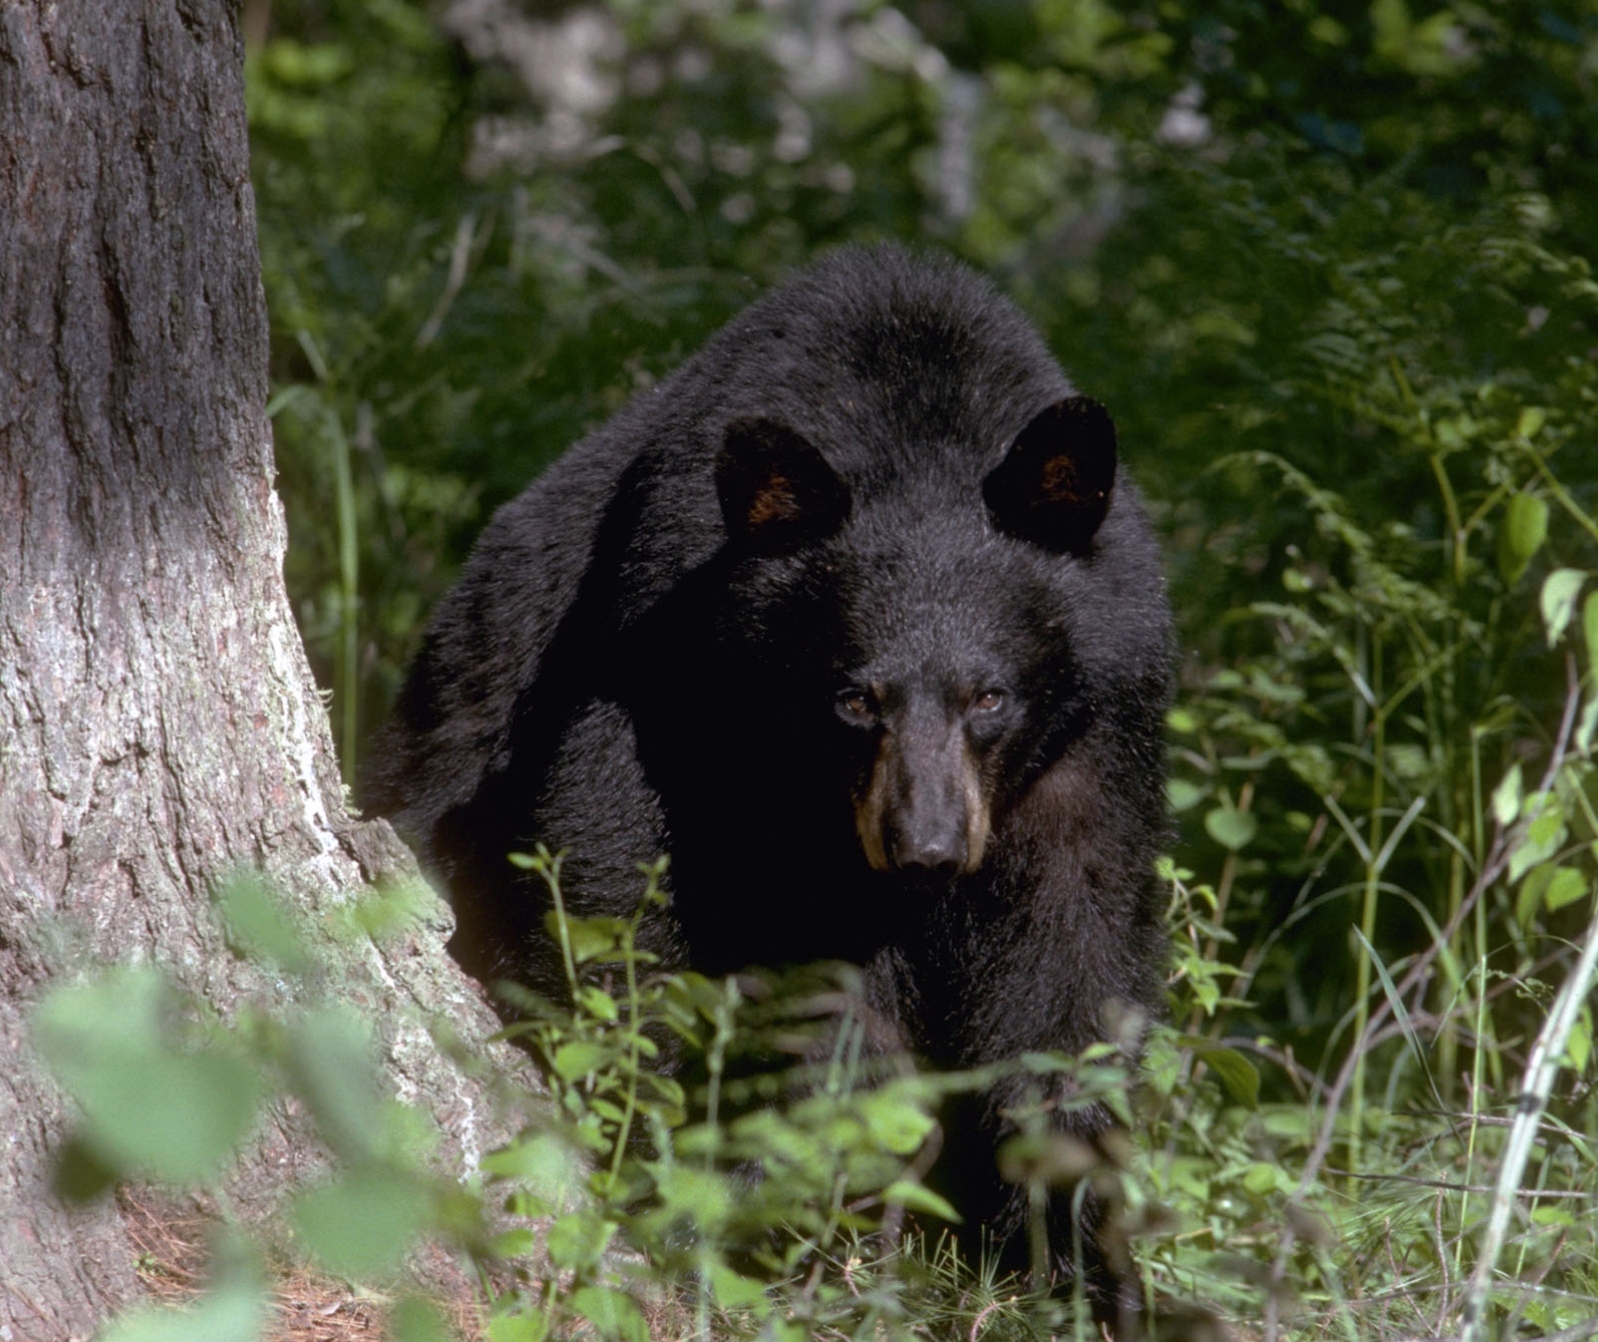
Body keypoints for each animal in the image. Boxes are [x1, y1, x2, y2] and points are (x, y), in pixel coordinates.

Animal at [365, 246, 1176, 1316]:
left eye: (990, 695)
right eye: (854, 698)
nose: (924, 850)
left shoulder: (1094, 741)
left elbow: (1072, 967)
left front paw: (1081, 1258)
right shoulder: (671, 697)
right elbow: (649, 914)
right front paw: (812, 1211)